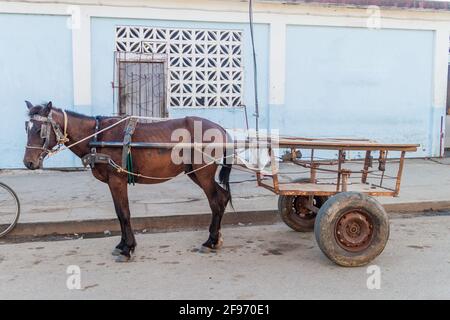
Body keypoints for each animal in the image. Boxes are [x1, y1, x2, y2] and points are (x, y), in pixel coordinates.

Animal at [22, 101, 232, 262]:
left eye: (40, 130)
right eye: (27, 128)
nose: (28, 162)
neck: (97, 136)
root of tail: (220, 129)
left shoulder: (117, 180)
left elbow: (124, 213)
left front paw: (127, 249)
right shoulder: (112, 182)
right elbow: (118, 212)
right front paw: (123, 244)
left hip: (203, 173)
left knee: (215, 202)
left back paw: (210, 241)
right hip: (194, 172)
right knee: (222, 197)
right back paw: (216, 238)